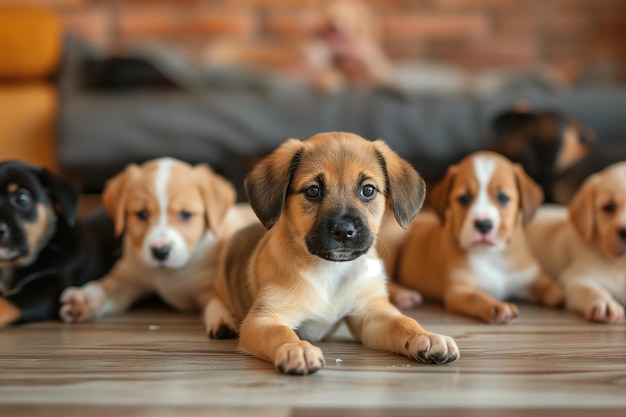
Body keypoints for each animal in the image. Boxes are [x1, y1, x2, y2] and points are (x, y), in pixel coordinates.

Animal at [56, 157, 256, 334]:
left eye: (185, 214)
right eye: (142, 214)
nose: (160, 251)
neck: (168, 275)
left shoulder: (214, 284)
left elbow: (218, 300)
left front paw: (222, 318)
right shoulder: (127, 280)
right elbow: (106, 287)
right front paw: (85, 299)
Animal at [205, 132, 458, 376]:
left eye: (368, 190)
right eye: (313, 191)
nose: (344, 231)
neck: (331, 270)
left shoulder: (371, 314)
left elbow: (403, 322)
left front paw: (426, 337)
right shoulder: (264, 317)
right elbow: (281, 333)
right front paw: (297, 348)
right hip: (222, 283)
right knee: (212, 297)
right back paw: (221, 320)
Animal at [382, 151, 564, 324]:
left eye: (503, 197)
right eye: (464, 198)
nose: (483, 224)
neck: (491, 255)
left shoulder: (531, 277)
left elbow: (552, 289)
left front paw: (562, 294)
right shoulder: (459, 290)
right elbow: (478, 296)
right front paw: (497, 306)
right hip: (394, 242)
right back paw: (404, 294)